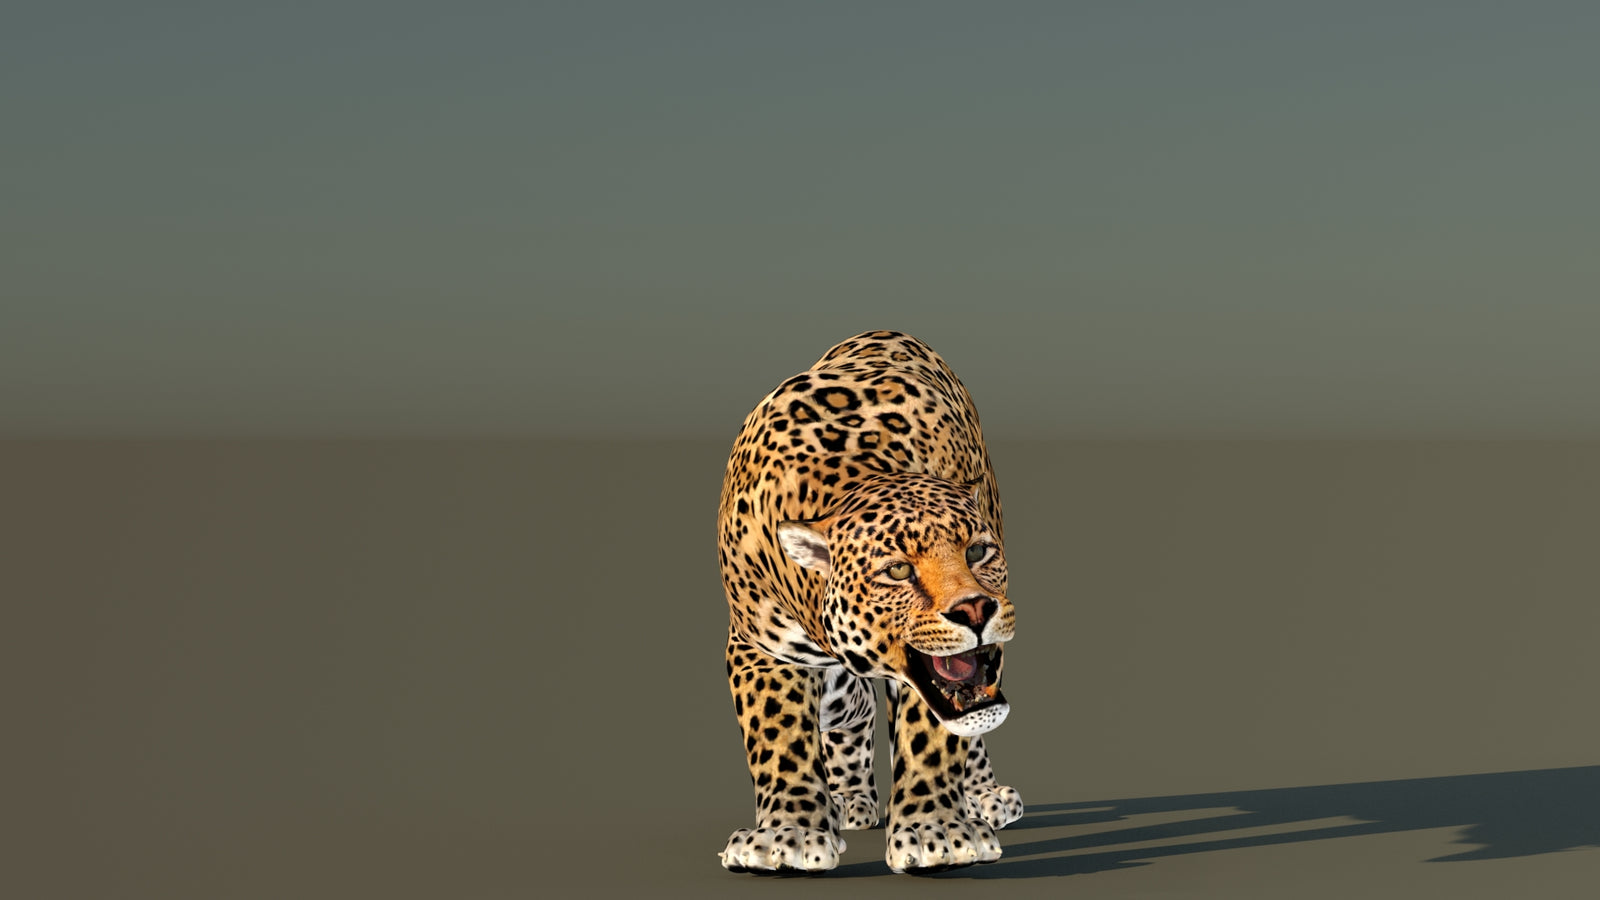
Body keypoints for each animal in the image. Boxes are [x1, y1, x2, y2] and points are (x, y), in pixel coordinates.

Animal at [716, 330, 1023, 875]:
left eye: (977, 551)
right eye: (898, 570)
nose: (974, 610)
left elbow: (931, 737)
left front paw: (934, 831)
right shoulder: (760, 648)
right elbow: (778, 738)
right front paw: (788, 835)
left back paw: (985, 797)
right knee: (853, 705)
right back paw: (850, 802)